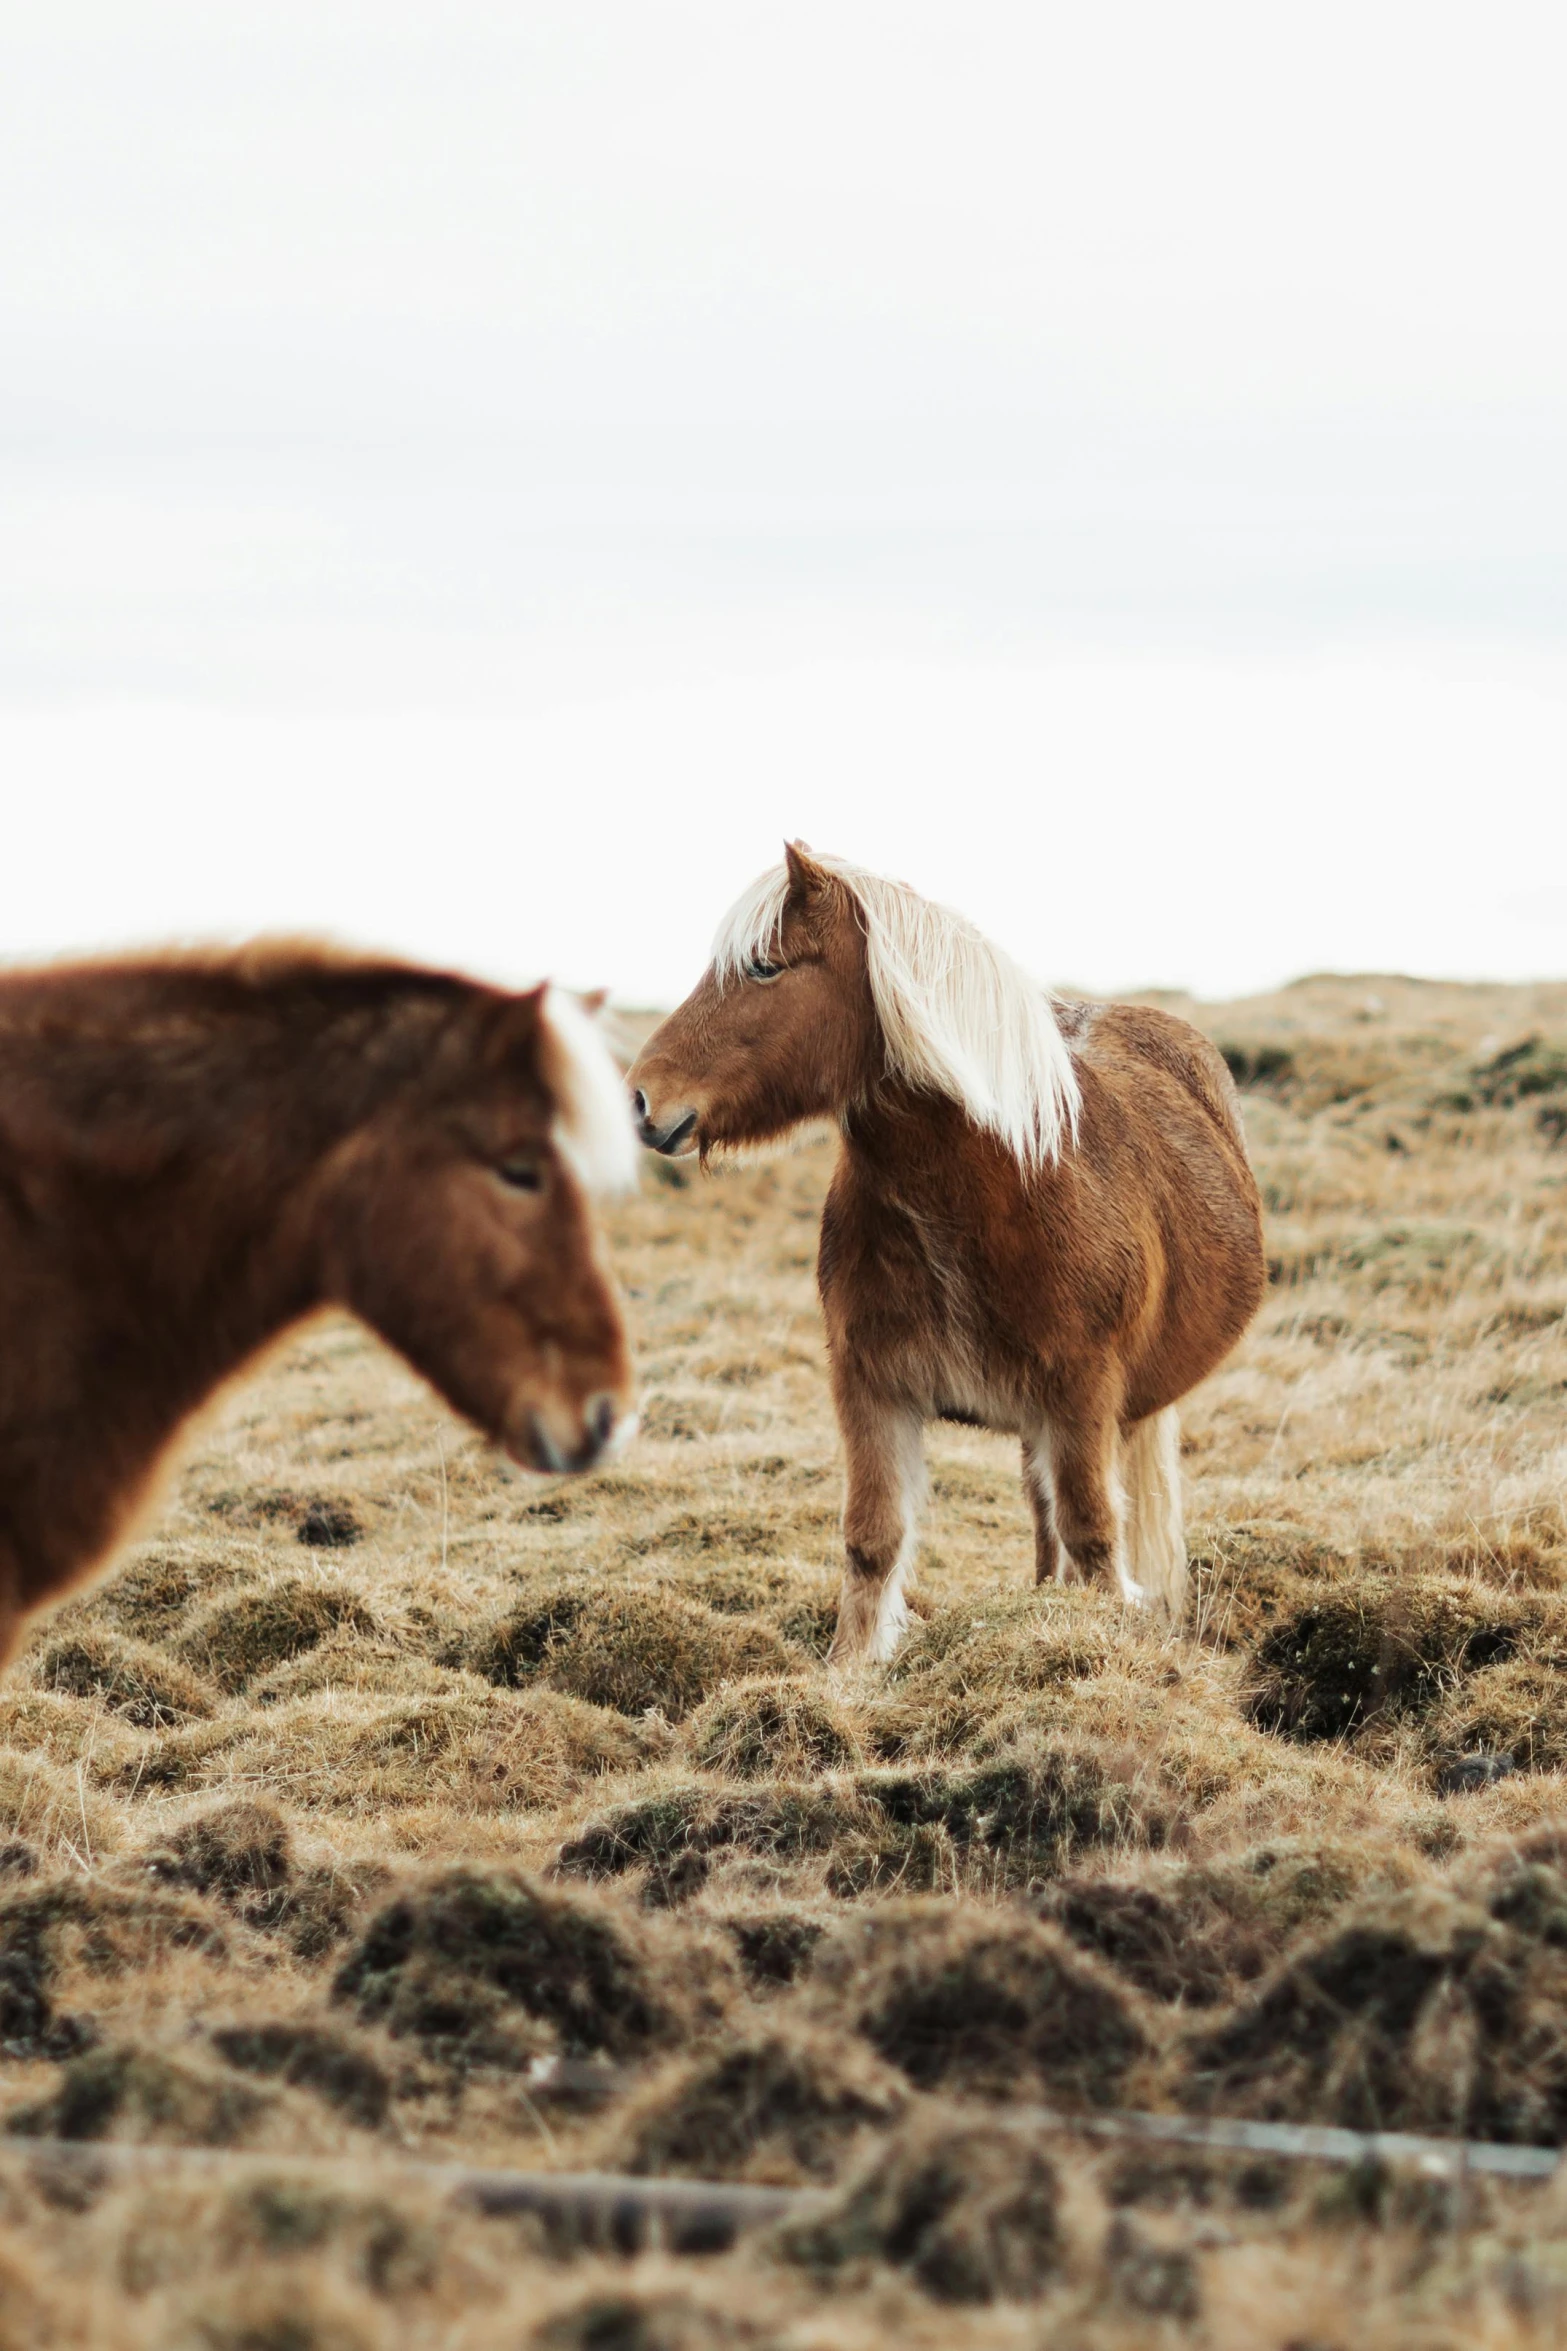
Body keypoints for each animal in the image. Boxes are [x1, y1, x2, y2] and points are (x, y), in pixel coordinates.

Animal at [629, 846, 1268, 1673]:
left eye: (765, 967)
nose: (642, 1099)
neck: (987, 1192)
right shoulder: (870, 1384)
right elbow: (873, 1540)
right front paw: (848, 1674)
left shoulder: (1083, 1392)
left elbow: (1094, 1536)